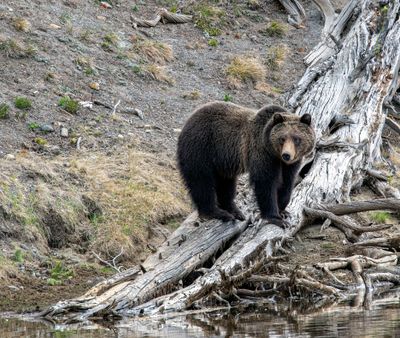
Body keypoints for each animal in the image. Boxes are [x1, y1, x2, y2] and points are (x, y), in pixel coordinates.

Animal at [177, 101, 316, 227]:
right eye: (282, 138)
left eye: (297, 139)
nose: (286, 155)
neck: (274, 153)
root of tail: (189, 120)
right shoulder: (261, 152)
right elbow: (266, 183)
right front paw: (276, 218)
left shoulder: (290, 164)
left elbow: (287, 182)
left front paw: (283, 209)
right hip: (201, 148)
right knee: (202, 182)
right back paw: (217, 213)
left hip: (222, 161)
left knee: (226, 184)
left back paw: (234, 211)